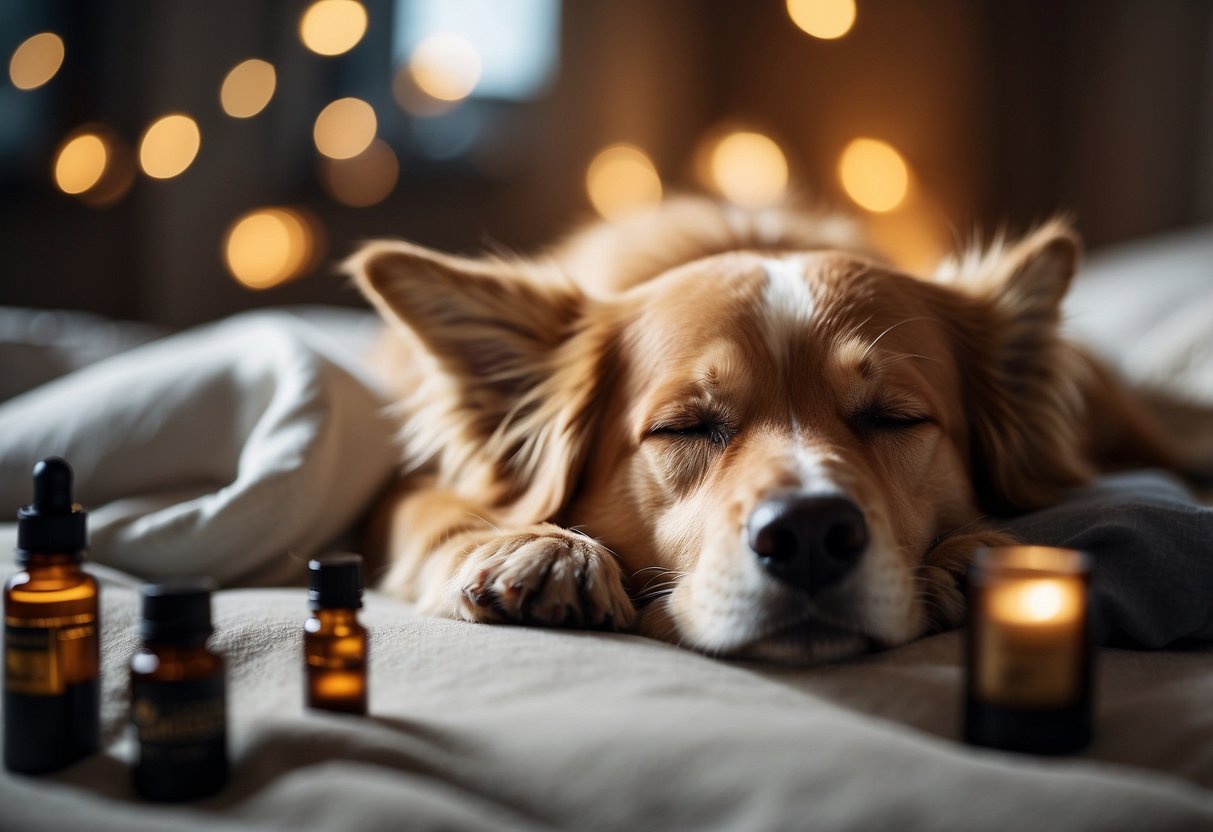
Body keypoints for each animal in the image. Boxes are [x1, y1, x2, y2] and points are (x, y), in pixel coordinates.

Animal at [346, 197, 1188, 664]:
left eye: (894, 418)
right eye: (683, 427)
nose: (810, 535)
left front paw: (970, 558)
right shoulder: (401, 492)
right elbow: (437, 510)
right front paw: (540, 547)